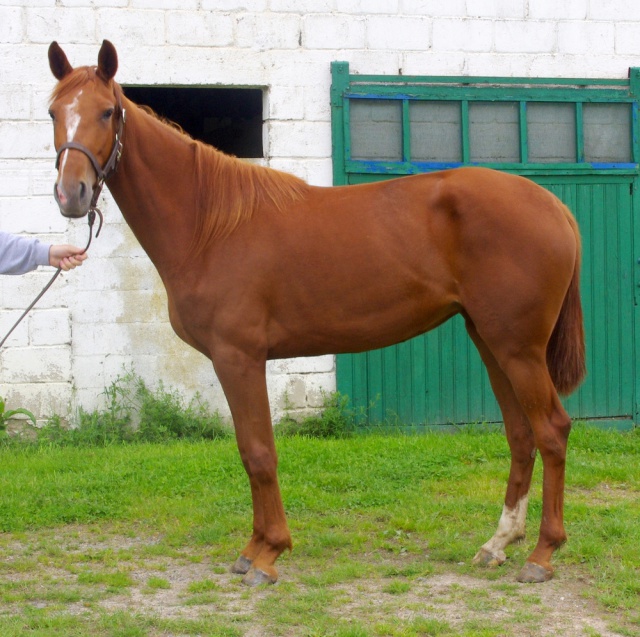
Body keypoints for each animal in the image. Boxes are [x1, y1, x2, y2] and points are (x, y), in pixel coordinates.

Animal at [45, 41, 584, 588]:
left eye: (107, 112)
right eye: (53, 113)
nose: (71, 196)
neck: (211, 225)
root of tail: (554, 206)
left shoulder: (238, 357)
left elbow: (259, 453)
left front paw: (268, 554)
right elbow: (249, 450)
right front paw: (254, 548)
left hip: (518, 348)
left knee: (551, 431)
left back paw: (542, 553)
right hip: (491, 341)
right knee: (520, 434)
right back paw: (498, 543)